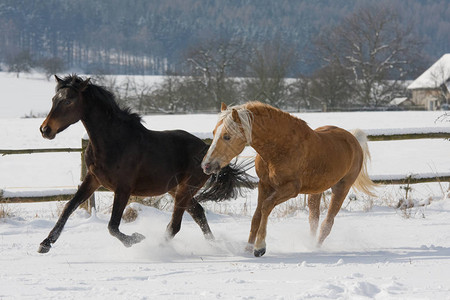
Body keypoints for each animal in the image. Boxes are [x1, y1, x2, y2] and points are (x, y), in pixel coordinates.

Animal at [37, 75, 253, 253]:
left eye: (69, 100)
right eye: (54, 99)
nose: (45, 130)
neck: (113, 141)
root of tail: (207, 149)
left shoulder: (123, 188)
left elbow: (112, 226)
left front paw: (136, 239)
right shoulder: (93, 179)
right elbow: (69, 207)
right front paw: (45, 243)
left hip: (186, 188)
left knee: (176, 224)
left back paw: (158, 247)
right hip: (177, 189)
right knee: (198, 212)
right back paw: (214, 245)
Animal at [201, 102, 376, 256]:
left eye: (227, 136)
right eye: (213, 133)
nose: (206, 165)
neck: (280, 147)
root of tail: (353, 140)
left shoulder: (291, 189)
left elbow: (266, 207)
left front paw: (259, 248)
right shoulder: (264, 185)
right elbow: (256, 216)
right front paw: (247, 249)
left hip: (342, 188)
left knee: (327, 223)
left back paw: (315, 249)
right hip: (316, 191)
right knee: (314, 218)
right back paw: (309, 245)